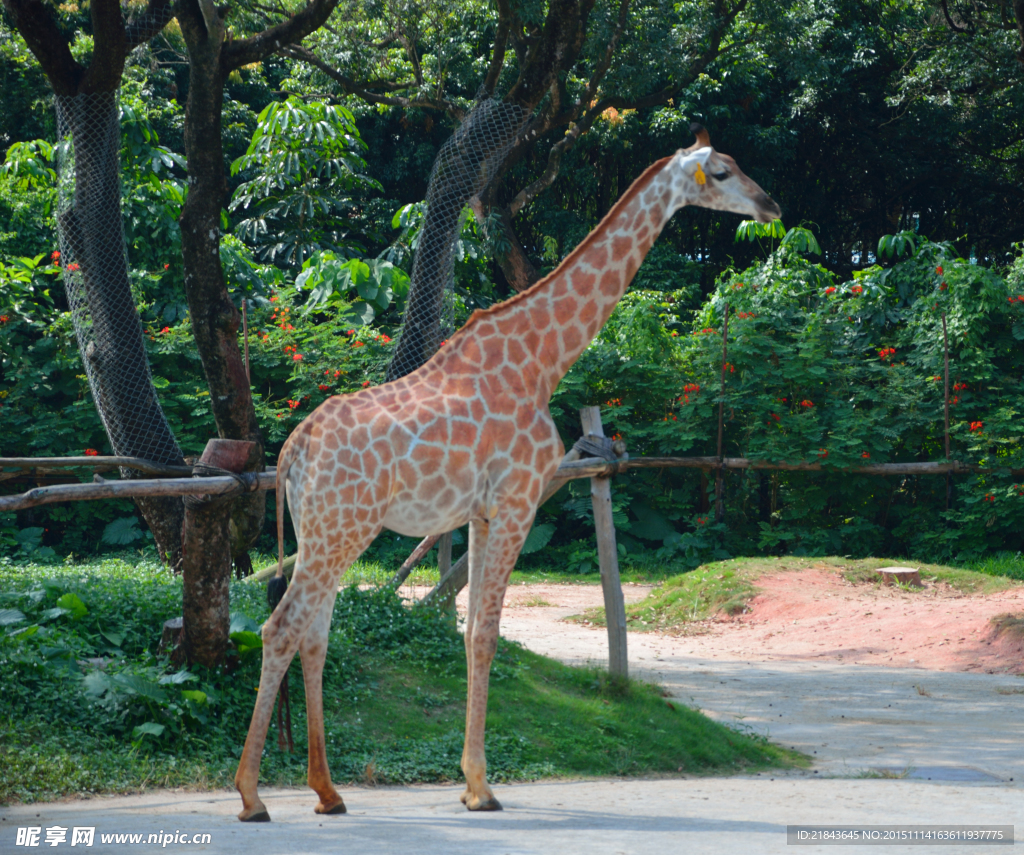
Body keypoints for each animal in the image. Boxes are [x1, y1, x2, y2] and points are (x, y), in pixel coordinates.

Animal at [234, 125, 774, 823]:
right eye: (724, 172)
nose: (771, 206)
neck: (542, 360)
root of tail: (292, 453)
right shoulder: (520, 501)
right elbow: (488, 634)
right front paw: (482, 788)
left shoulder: (484, 512)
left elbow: (470, 635)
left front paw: (468, 783)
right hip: (341, 528)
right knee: (281, 628)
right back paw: (252, 795)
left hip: (324, 532)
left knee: (313, 634)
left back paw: (327, 792)